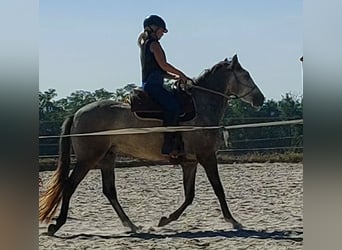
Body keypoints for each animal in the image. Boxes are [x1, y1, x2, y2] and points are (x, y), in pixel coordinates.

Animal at [39, 53, 264, 235]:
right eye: (246, 75)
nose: (260, 99)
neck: (201, 107)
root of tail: (77, 113)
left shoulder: (190, 162)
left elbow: (189, 195)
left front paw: (165, 220)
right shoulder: (207, 157)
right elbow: (218, 189)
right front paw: (233, 221)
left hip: (107, 158)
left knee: (109, 191)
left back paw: (131, 225)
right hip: (88, 158)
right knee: (70, 185)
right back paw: (57, 225)